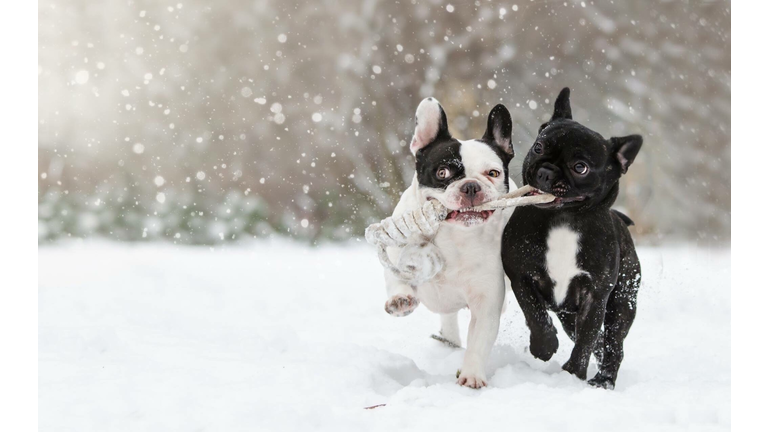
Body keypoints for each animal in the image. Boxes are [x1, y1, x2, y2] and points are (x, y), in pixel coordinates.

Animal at [384, 98, 516, 388]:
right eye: (442, 172)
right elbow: (396, 276)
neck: (453, 235)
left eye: (493, 173)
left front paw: (472, 375)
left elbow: (479, 340)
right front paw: (400, 299)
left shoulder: (486, 301)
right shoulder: (397, 252)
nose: (471, 186)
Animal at [500, 87, 644, 388]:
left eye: (580, 167)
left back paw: (604, 380)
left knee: (613, 343)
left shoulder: (595, 295)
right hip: (569, 314)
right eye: (538, 147)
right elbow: (535, 313)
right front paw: (544, 347)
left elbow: (586, 339)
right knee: (595, 340)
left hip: (623, 301)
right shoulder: (522, 275)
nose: (546, 171)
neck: (563, 219)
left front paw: (573, 373)